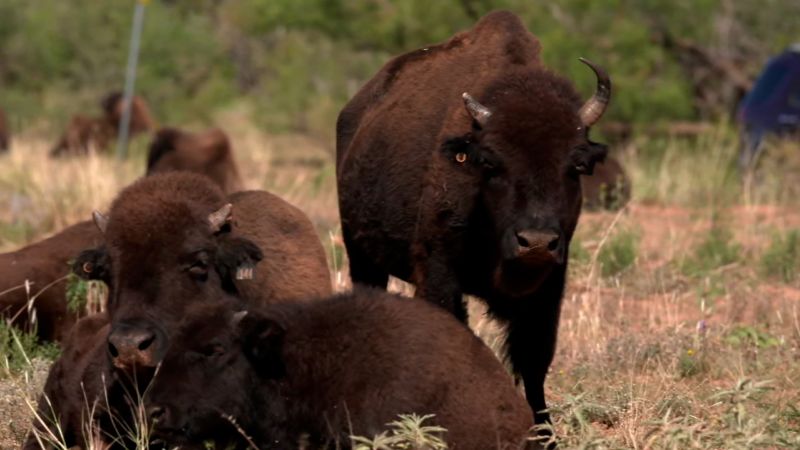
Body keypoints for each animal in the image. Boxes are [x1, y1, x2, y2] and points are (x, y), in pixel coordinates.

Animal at [334, 8, 608, 428]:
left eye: (576, 165)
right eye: (491, 163)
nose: (536, 242)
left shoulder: (550, 285)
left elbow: (533, 360)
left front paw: (544, 432)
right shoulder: (439, 272)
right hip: (361, 255)